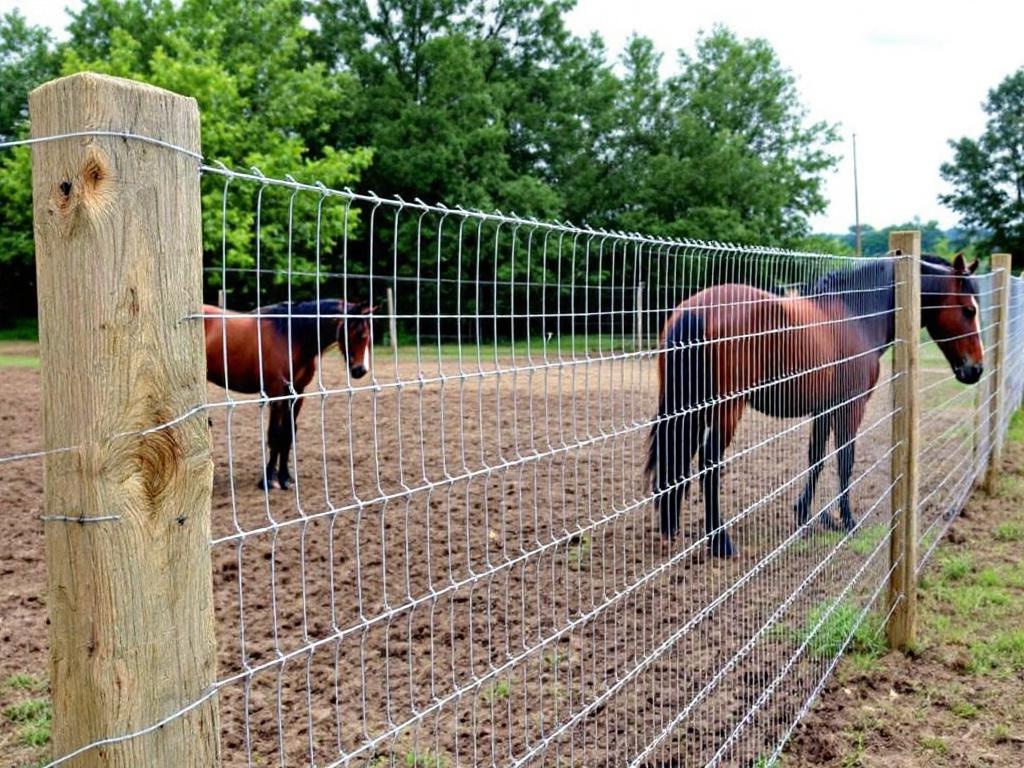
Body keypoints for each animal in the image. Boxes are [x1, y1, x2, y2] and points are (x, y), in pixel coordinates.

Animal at [203, 298, 374, 490]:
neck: (291, 337)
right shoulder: (276, 394)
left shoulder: (297, 394)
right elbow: (275, 434)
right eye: (359, 334)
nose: (360, 370)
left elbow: (288, 433)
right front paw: (268, 480)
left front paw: (285, 478)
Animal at [646, 253, 983, 558]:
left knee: (677, 457)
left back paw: (671, 528)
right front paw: (848, 521)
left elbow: (816, 458)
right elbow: (845, 460)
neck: (857, 314)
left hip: (690, 408)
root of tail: (697, 310)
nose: (976, 369)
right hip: (726, 410)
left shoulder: (824, 409)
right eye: (968, 310)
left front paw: (804, 514)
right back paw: (720, 542)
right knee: (709, 464)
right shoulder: (850, 407)